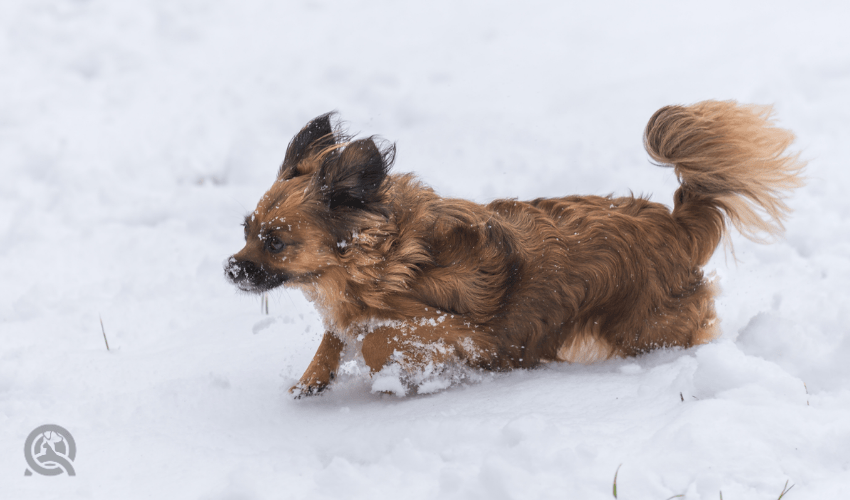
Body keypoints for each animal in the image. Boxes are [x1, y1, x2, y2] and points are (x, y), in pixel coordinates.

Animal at [224, 101, 800, 396]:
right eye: (247, 230)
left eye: (275, 242)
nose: (231, 269)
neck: (385, 259)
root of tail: (676, 223)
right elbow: (335, 334)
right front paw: (312, 380)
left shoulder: (460, 328)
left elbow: (378, 337)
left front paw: (399, 379)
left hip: (646, 329)